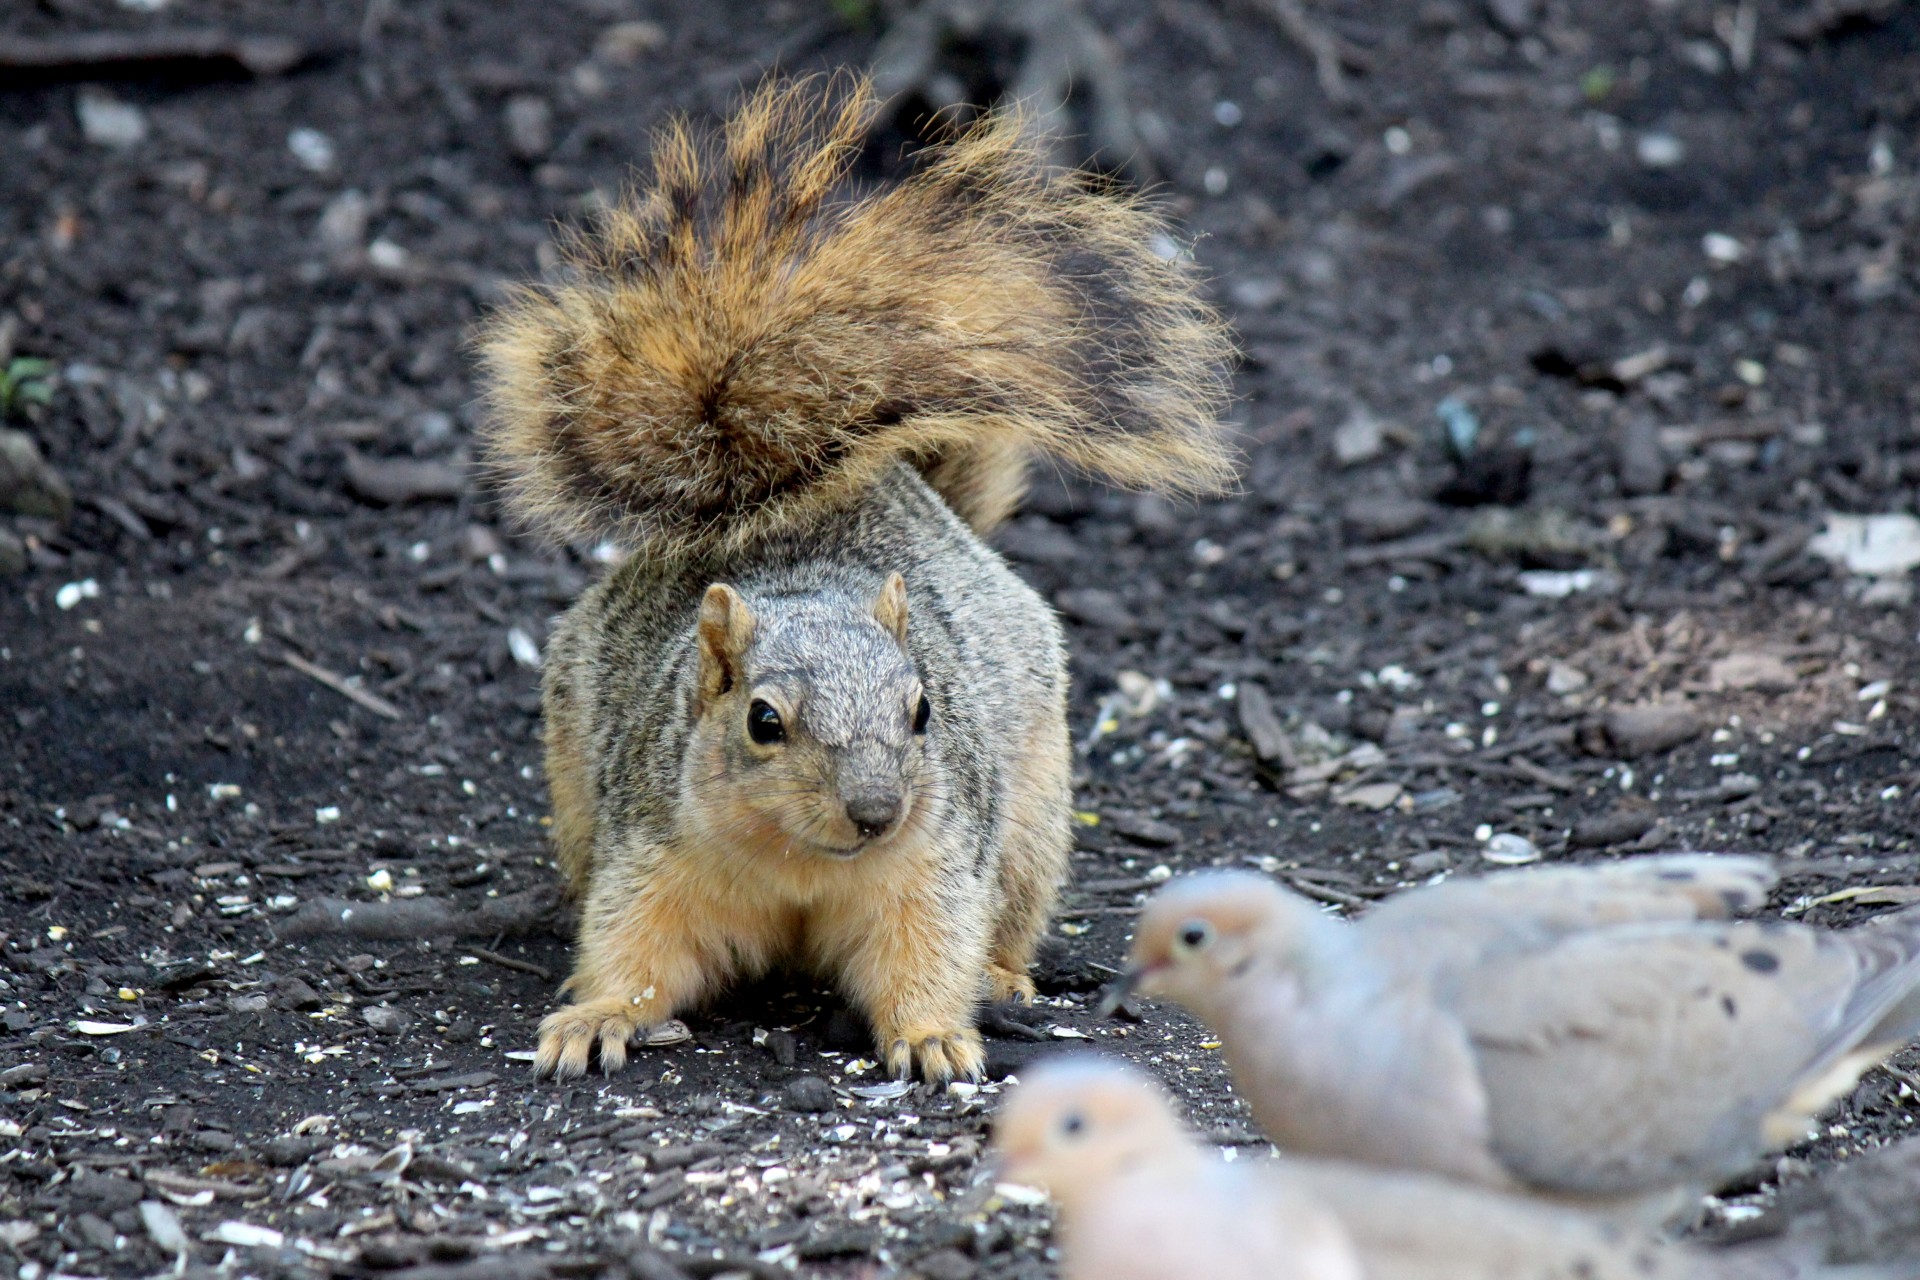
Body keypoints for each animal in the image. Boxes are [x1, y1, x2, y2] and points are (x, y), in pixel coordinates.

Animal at [478, 75, 1228, 1082]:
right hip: (573, 783)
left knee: (1011, 907)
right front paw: (593, 1018)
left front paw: (935, 1034)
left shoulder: (935, 862)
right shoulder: (652, 853)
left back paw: (1004, 975)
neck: (804, 863)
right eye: (763, 722)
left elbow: (926, 949)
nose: (875, 810)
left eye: (923, 711)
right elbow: (636, 951)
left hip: (1032, 814)